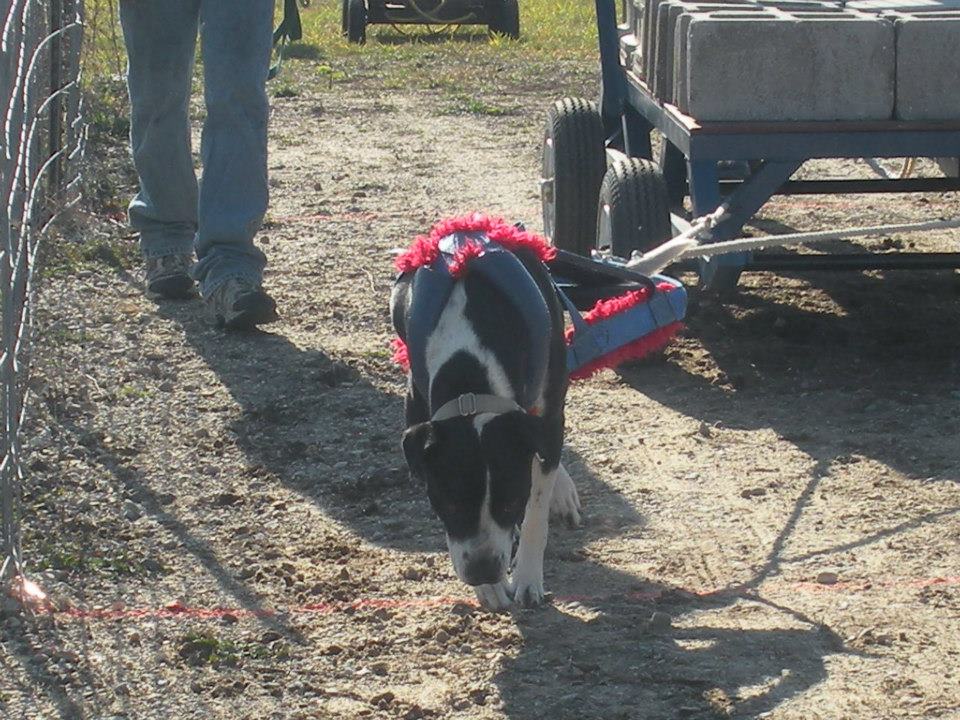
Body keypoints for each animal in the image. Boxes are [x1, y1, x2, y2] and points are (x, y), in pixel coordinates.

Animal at [388, 222, 576, 612]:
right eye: (449, 501)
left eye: (511, 501)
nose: (483, 571)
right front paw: (491, 588)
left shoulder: (548, 411)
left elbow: (537, 507)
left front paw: (527, 578)